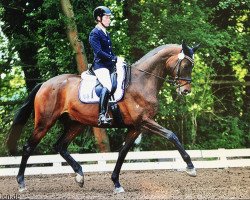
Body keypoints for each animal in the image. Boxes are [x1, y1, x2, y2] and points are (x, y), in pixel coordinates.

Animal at [5, 40, 200, 192]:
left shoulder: (136, 127)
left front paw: (116, 183)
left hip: (76, 123)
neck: (142, 81)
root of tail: (44, 84)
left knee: (60, 146)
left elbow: (122, 152)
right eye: (185, 65)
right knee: (28, 148)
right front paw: (190, 167)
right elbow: (171, 135)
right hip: (45, 122)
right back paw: (21, 183)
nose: (186, 91)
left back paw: (80, 176)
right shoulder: (144, 121)